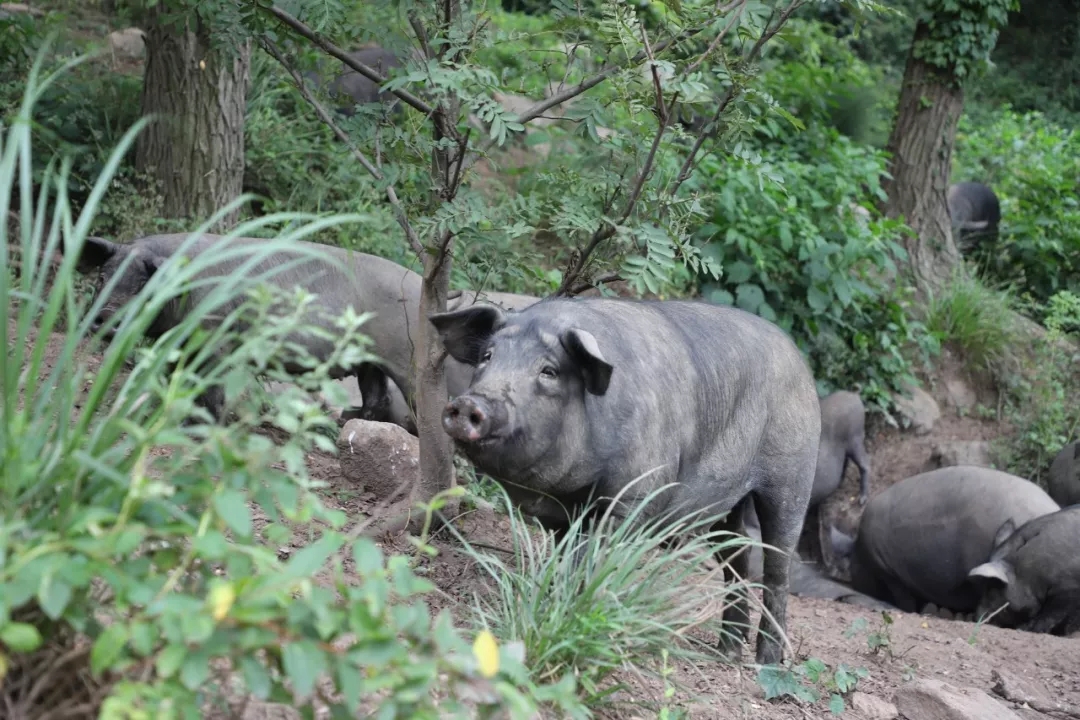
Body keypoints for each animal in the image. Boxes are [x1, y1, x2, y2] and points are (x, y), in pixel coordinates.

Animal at [427, 293, 816, 664]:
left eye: (549, 371)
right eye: (487, 357)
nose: (470, 403)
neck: (570, 490)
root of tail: (797, 357)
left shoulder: (633, 496)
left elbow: (596, 561)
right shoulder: (560, 516)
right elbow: (567, 561)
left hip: (792, 474)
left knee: (778, 565)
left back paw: (767, 664)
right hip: (729, 503)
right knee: (737, 555)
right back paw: (727, 653)